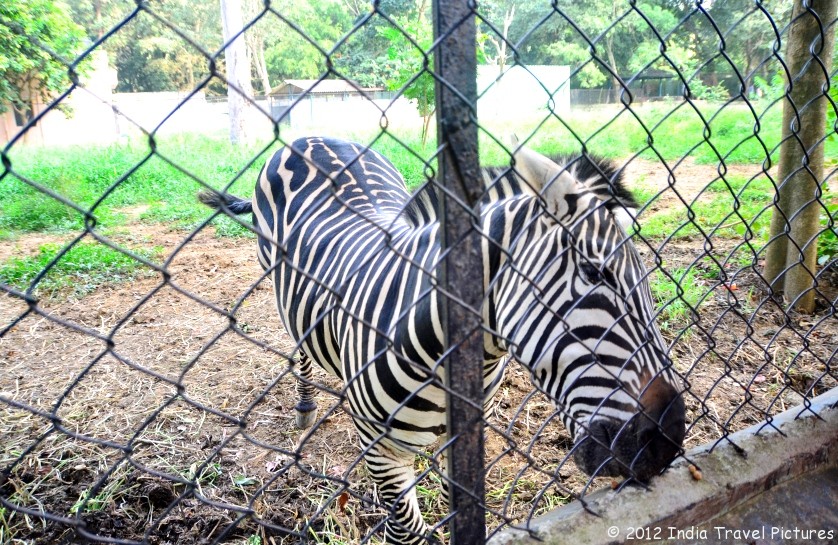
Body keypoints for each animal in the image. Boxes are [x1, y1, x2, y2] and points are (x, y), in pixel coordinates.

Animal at [199, 135, 688, 540]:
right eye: (594, 272)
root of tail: (311, 136)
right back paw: (304, 406)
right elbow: (408, 532)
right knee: (298, 345)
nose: (666, 443)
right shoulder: (382, 453)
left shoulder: (467, 432)